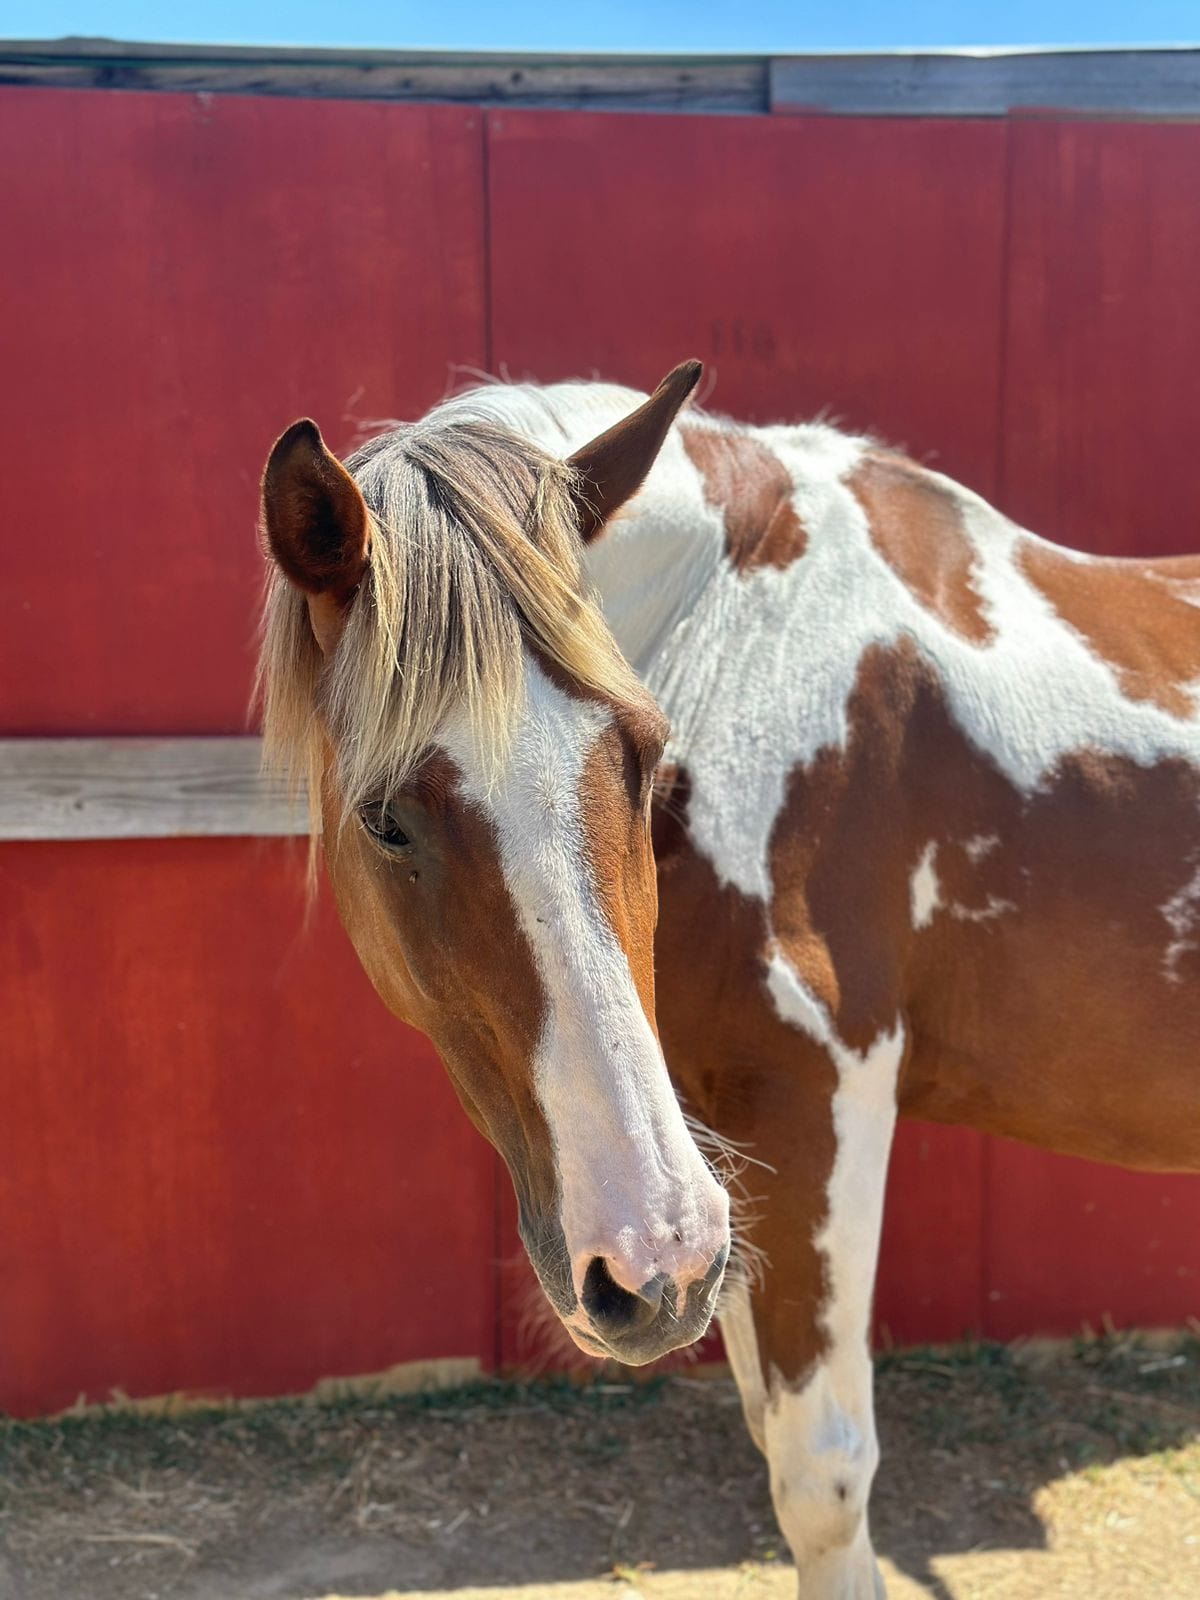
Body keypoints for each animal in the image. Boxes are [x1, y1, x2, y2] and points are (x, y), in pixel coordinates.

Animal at [256, 362, 1200, 1598]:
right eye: (383, 817)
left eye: (643, 757)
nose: (646, 1264)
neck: (737, 642)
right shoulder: (726, 1154)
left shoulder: (818, 1103)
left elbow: (821, 1476)